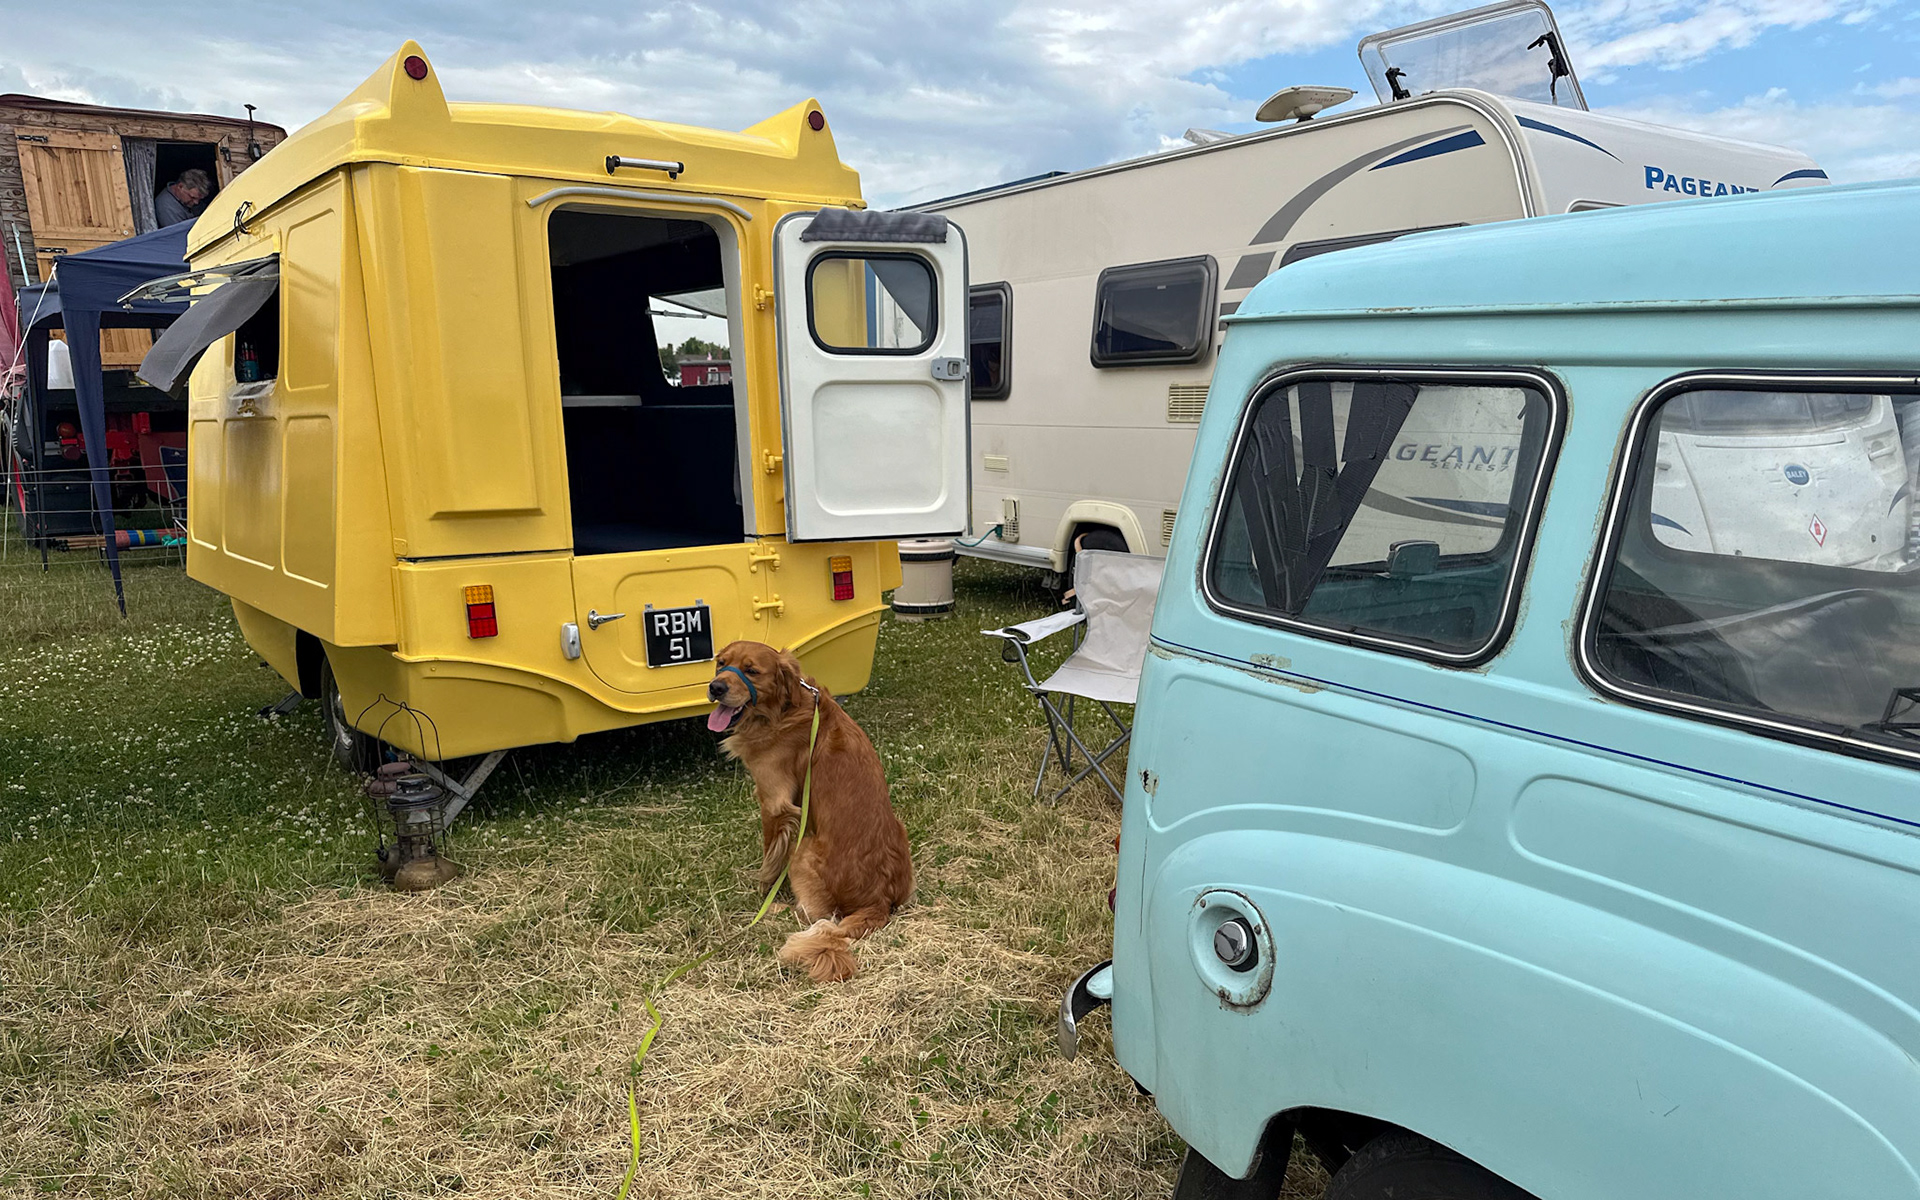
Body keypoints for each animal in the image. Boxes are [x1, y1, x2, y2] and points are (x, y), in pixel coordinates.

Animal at [706, 641, 913, 982]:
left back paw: (776, 910)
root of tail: (879, 900)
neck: (784, 709)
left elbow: (769, 858)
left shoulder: (773, 803)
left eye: (752, 671)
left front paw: (763, 894)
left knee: (813, 915)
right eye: (720, 663)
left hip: (804, 850)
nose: (715, 687)